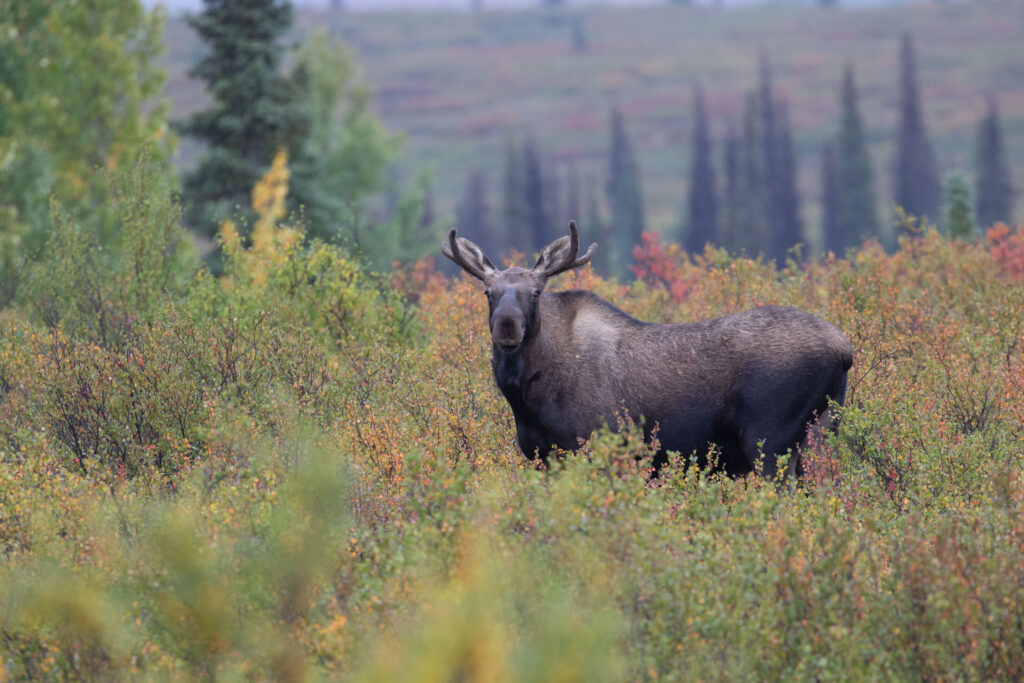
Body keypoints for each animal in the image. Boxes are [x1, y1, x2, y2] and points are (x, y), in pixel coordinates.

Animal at [444, 222, 851, 479]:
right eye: (488, 293)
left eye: (536, 292)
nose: (507, 325)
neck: (527, 396)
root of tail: (845, 351)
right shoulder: (539, 457)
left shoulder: (591, 449)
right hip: (819, 435)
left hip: (771, 440)